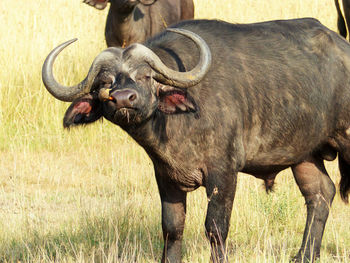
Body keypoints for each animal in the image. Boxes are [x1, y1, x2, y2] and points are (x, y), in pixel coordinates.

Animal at [42, 17, 350, 262]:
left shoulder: (223, 174)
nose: (123, 99)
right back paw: (305, 255)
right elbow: (172, 228)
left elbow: (215, 228)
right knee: (320, 194)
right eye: (105, 82)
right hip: (305, 155)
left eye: (146, 76)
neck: (178, 125)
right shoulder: (166, 175)